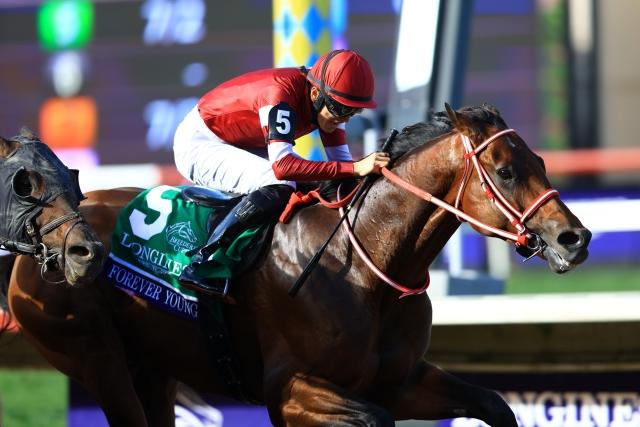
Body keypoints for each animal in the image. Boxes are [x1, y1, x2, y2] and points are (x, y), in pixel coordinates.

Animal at [6, 104, 591, 426]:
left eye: (541, 162)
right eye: (506, 170)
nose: (576, 238)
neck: (363, 265)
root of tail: (41, 238)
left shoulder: (400, 381)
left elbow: (495, 404)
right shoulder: (289, 390)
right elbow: (374, 419)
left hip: (154, 370)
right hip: (96, 361)